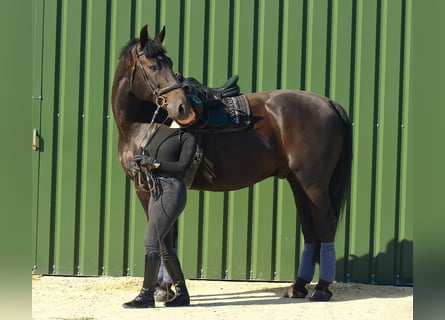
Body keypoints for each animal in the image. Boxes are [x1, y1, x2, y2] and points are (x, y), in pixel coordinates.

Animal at [112, 26, 352, 302]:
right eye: (152, 66)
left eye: (168, 63)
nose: (183, 108)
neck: (141, 125)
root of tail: (328, 103)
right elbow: (168, 235)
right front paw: (168, 289)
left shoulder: (148, 187)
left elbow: (162, 235)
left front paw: (162, 290)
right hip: (298, 183)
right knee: (310, 229)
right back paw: (299, 286)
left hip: (313, 183)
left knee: (326, 225)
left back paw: (322, 288)